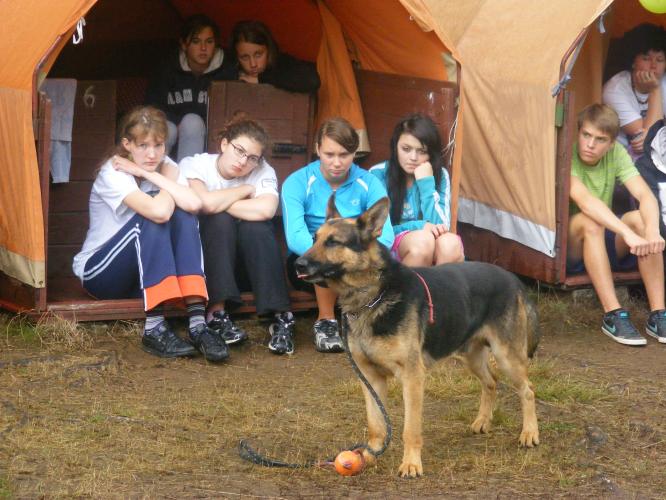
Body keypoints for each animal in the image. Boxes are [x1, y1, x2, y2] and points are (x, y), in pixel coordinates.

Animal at [296, 195, 540, 476]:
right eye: (314, 238)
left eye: (333, 242)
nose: (297, 264)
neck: (372, 296)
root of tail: (513, 279)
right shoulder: (370, 379)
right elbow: (376, 424)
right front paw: (369, 456)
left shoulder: (412, 378)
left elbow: (410, 429)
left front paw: (411, 464)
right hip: (471, 356)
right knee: (491, 382)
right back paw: (482, 421)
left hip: (506, 356)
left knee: (528, 390)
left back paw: (529, 433)